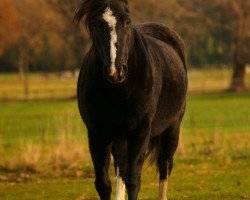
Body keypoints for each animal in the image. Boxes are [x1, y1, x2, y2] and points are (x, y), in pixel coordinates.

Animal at [74, 0, 188, 199]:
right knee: (121, 166)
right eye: (95, 23)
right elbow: (104, 184)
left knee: (164, 166)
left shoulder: (140, 131)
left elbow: (134, 180)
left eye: (127, 21)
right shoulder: (97, 133)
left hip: (172, 128)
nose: (115, 70)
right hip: (119, 135)